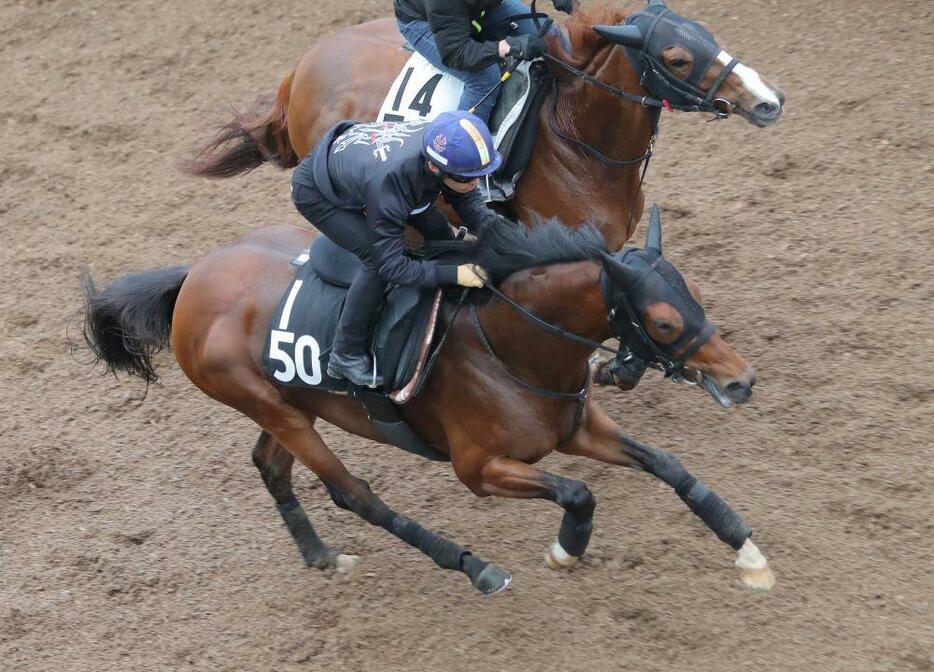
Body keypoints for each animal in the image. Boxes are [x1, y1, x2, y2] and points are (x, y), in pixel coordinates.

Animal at [84, 209, 780, 592]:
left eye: (694, 296)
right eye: (663, 321)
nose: (741, 380)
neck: (510, 344)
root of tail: (192, 279)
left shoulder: (577, 428)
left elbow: (670, 466)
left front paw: (746, 549)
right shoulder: (479, 468)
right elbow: (579, 493)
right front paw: (566, 548)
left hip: (290, 404)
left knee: (271, 466)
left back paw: (319, 555)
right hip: (272, 407)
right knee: (353, 494)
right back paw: (473, 567)